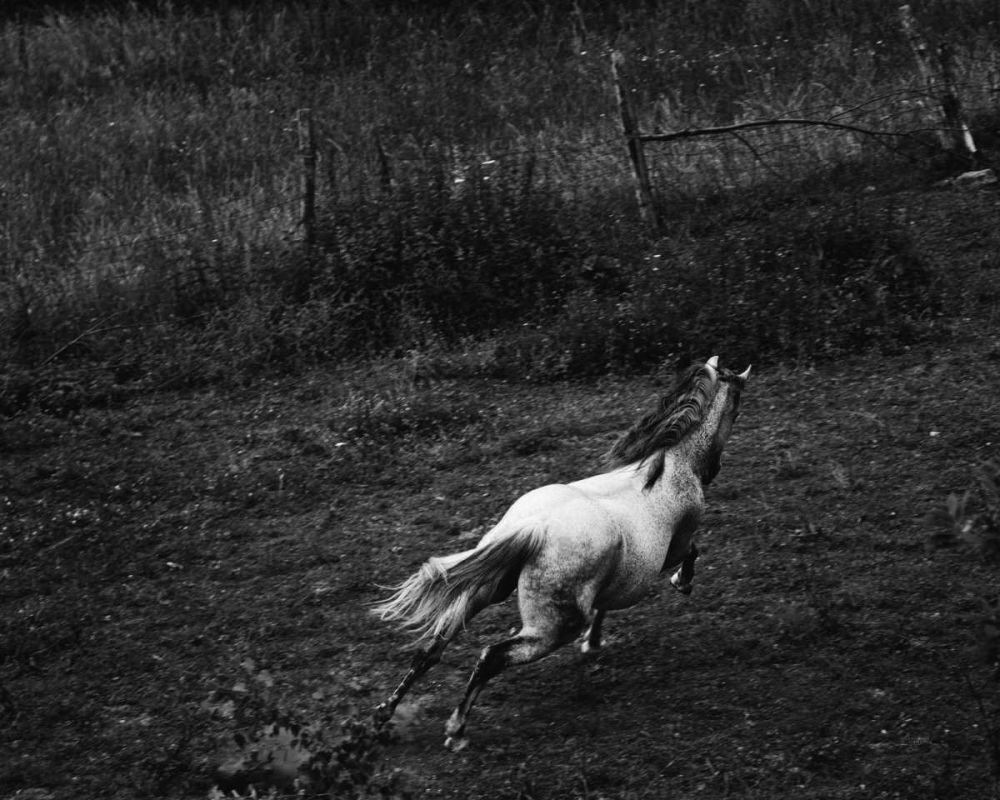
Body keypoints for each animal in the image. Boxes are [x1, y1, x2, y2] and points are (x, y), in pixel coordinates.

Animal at [371, 356, 750, 751]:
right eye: (737, 404)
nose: (715, 469)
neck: (670, 466)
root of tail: (534, 527)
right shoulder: (675, 546)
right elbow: (692, 552)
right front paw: (682, 583)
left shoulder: (614, 578)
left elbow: (604, 603)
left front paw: (593, 643)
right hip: (552, 629)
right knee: (490, 657)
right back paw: (455, 730)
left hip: (484, 591)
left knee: (431, 649)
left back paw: (383, 717)